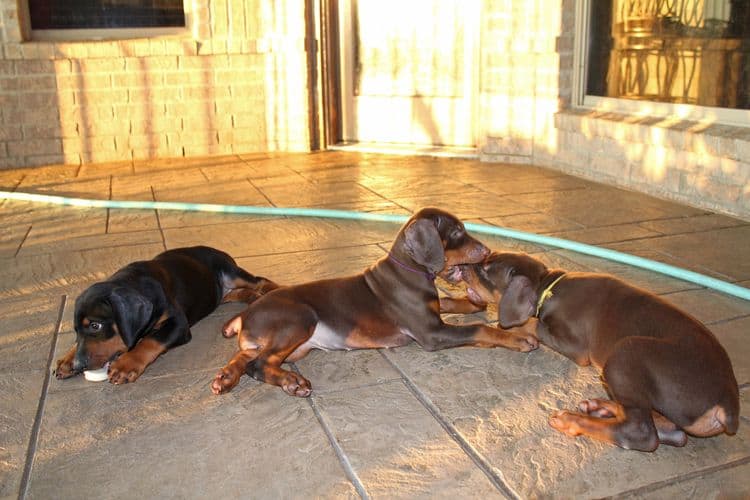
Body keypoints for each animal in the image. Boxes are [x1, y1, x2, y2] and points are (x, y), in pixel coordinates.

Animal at [55, 245, 280, 382]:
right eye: (76, 330)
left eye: (95, 326)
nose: (79, 365)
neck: (134, 281)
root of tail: (221, 251)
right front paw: (67, 360)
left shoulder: (178, 325)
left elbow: (151, 340)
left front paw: (127, 364)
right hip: (219, 294)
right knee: (238, 293)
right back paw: (254, 298)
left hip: (231, 272)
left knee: (259, 280)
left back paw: (275, 291)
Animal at [212, 209, 540, 396]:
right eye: (457, 231)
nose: (487, 250)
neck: (409, 271)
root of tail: (246, 314)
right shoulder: (432, 334)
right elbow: (479, 329)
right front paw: (518, 338)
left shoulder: (432, 312)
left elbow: (446, 301)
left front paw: (472, 304)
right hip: (300, 318)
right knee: (259, 364)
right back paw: (292, 383)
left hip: (287, 346)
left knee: (247, 357)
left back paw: (225, 378)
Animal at [456, 252, 744, 452]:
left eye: (486, 270)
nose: (460, 267)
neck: (549, 288)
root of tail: (728, 402)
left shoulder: (574, 345)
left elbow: (533, 324)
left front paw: (518, 331)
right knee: (672, 431)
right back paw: (600, 407)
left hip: (626, 351)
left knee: (641, 432)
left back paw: (572, 420)